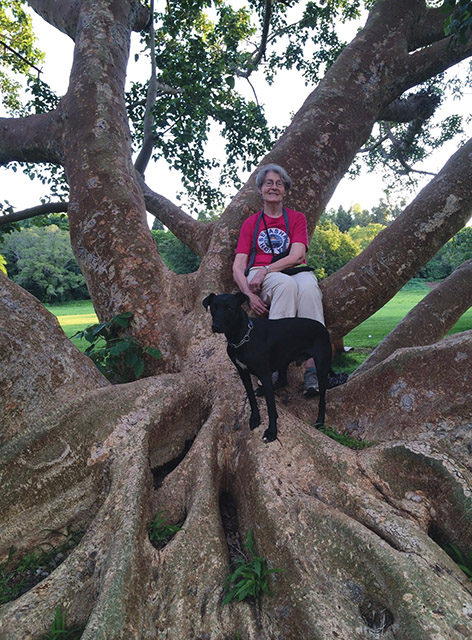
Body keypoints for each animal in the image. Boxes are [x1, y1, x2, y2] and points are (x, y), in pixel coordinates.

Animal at [203, 292, 332, 442]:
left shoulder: (264, 374)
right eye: (214, 307)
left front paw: (271, 432)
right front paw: (255, 418)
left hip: (321, 367)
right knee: (282, 381)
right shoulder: (243, 372)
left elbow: (271, 407)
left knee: (322, 399)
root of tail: (322, 327)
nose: (215, 326)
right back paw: (263, 390)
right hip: (283, 357)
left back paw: (320, 421)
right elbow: (251, 398)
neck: (242, 337)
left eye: (229, 308)